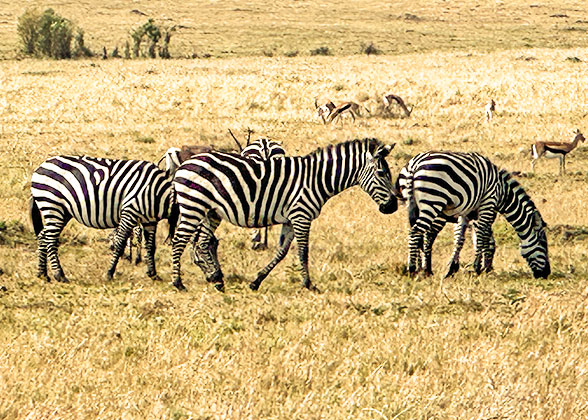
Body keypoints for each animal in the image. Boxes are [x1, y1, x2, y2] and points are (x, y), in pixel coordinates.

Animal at [30, 156, 177, 284]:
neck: (158, 193)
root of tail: (40, 166)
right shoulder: (129, 212)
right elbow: (120, 243)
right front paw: (109, 273)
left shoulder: (150, 221)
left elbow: (151, 247)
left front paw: (153, 274)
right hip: (52, 205)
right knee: (50, 239)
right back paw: (59, 275)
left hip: (62, 211)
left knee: (43, 236)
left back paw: (42, 274)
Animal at [172, 138, 398, 292]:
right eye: (381, 174)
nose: (393, 206)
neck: (316, 180)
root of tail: (185, 163)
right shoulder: (302, 215)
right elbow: (303, 251)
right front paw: (308, 284)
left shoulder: (290, 219)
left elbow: (281, 251)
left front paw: (257, 281)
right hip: (193, 206)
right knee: (179, 240)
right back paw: (178, 282)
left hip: (211, 212)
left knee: (203, 242)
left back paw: (217, 280)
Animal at [396, 151, 552, 278]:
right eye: (543, 244)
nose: (546, 274)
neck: (502, 193)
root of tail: (414, 165)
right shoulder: (488, 204)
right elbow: (482, 236)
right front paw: (478, 268)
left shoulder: (466, 212)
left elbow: (460, 239)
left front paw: (453, 268)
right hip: (433, 201)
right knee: (417, 232)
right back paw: (414, 269)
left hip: (414, 204)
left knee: (420, 234)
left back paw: (422, 268)